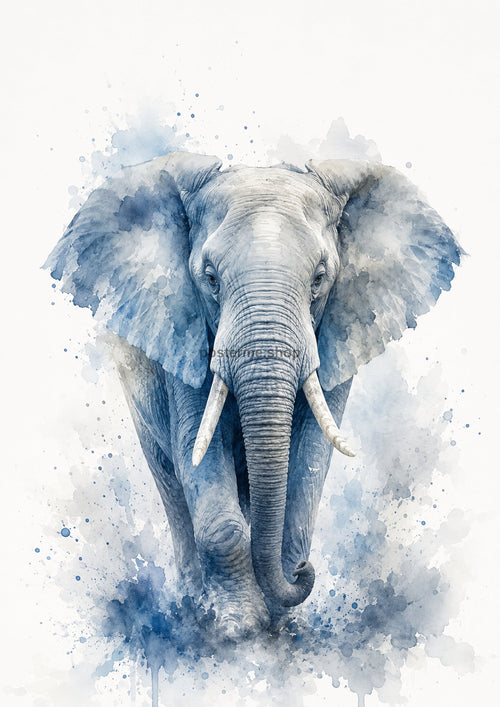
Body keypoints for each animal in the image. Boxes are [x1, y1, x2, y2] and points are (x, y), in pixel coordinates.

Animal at [45, 151, 461, 636]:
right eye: (210, 278)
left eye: (320, 278)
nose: (303, 573)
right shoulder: (184, 335)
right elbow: (199, 455)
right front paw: (239, 631)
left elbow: (308, 464)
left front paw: (282, 626)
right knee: (170, 479)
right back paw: (193, 607)